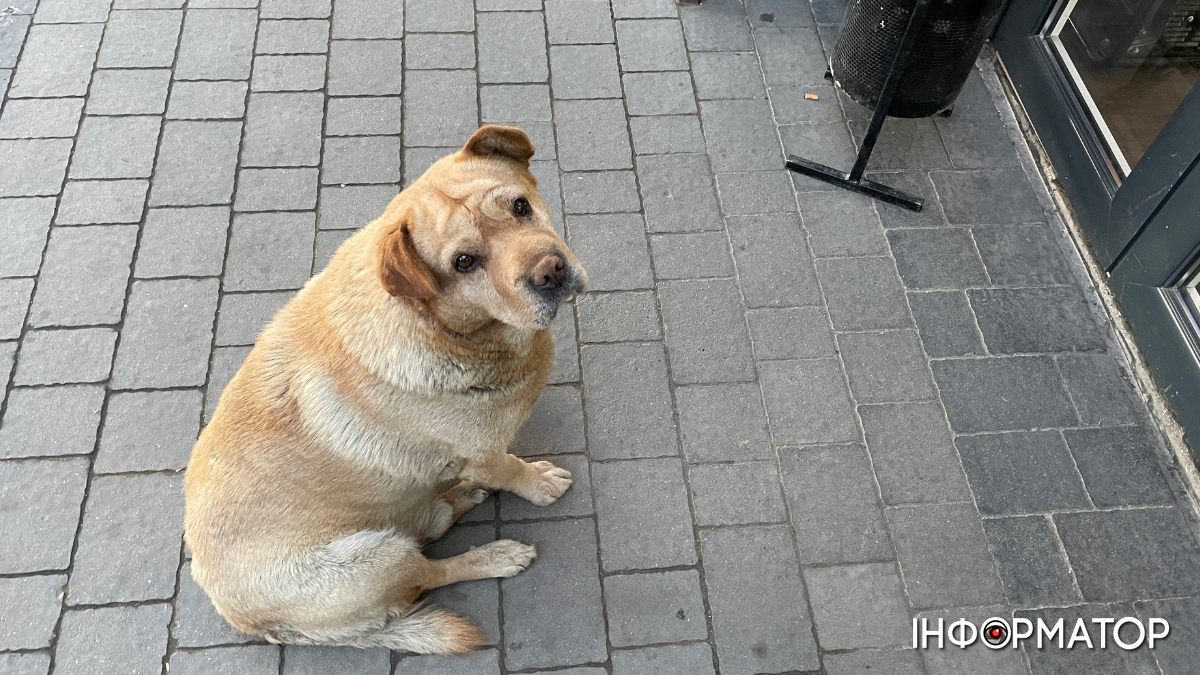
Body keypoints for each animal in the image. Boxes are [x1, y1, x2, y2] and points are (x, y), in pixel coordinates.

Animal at [181, 124, 585, 653]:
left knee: (429, 525)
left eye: (520, 206)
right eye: (463, 262)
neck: (446, 329)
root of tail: (251, 623)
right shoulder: (483, 452)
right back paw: (493, 555)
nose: (550, 270)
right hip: (372, 560)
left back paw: (453, 498)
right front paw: (537, 484)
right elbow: (513, 470)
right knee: (427, 573)